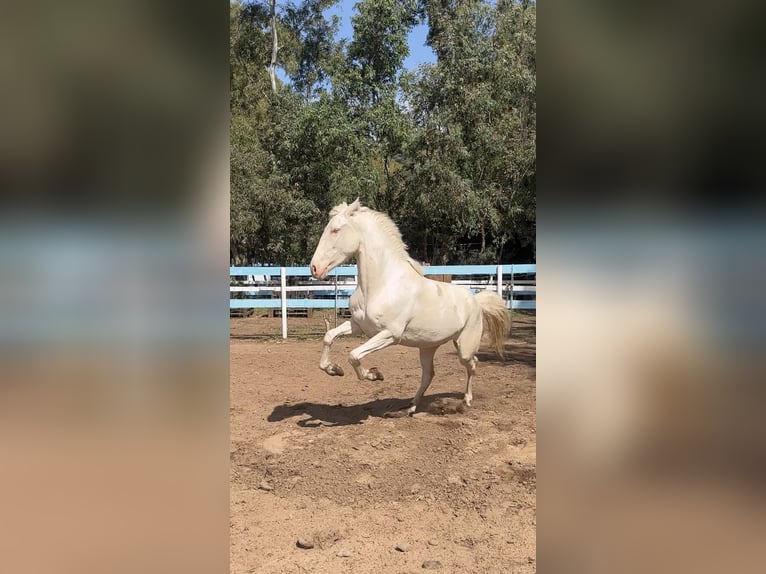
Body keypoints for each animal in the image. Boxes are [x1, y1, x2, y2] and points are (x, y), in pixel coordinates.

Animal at [308, 200, 512, 416]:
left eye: (336, 230)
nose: (314, 268)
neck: (382, 284)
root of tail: (476, 301)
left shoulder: (390, 334)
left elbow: (353, 355)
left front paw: (374, 374)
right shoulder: (359, 325)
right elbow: (329, 336)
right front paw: (334, 369)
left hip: (464, 347)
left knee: (472, 364)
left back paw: (466, 401)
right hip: (428, 347)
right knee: (429, 374)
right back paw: (411, 406)